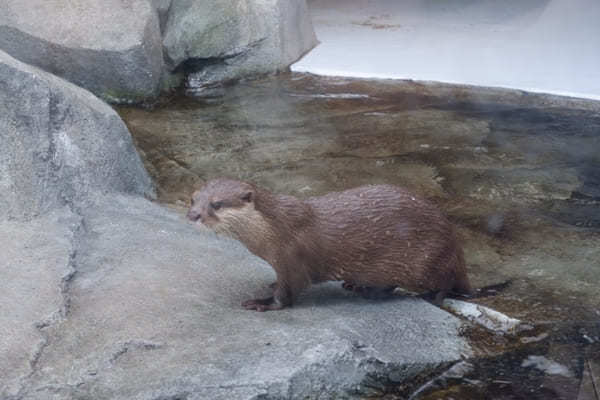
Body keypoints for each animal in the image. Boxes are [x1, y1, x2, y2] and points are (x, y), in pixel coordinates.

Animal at [188, 179, 474, 312]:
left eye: (216, 204)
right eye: (193, 198)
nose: (193, 215)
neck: (273, 229)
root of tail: (454, 244)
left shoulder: (293, 257)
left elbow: (288, 293)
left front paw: (263, 303)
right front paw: (269, 284)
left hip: (429, 260)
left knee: (446, 285)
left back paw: (428, 296)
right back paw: (359, 287)